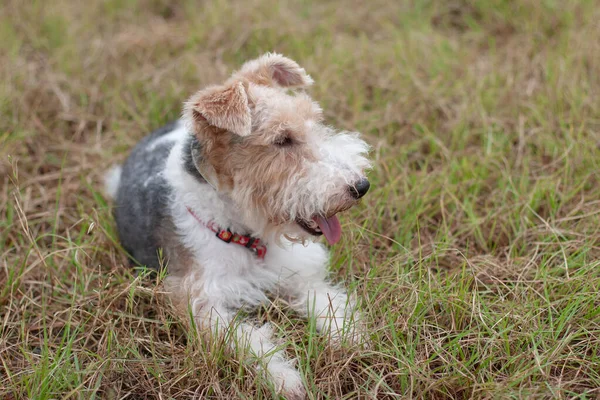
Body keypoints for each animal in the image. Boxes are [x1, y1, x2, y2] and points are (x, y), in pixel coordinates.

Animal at [105, 54, 372, 400]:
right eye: (282, 140)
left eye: (314, 122)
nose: (361, 185)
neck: (241, 231)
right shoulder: (200, 303)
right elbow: (248, 341)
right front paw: (286, 380)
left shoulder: (297, 274)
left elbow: (328, 303)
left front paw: (351, 337)